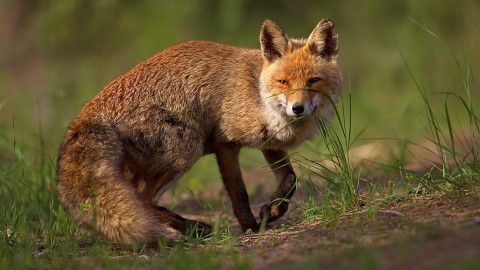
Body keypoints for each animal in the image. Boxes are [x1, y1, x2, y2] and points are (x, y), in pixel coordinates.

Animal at [57, 19, 342, 247]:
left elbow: (290, 180)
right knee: (143, 200)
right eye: (283, 82)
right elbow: (240, 194)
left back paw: (190, 228)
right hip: (186, 149)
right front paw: (251, 227)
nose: (297, 108)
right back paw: (192, 228)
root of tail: (87, 112)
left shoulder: (269, 143)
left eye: (313, 81)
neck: (258, 94)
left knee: (139, 200)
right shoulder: (225, 143)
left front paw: (272, 210)